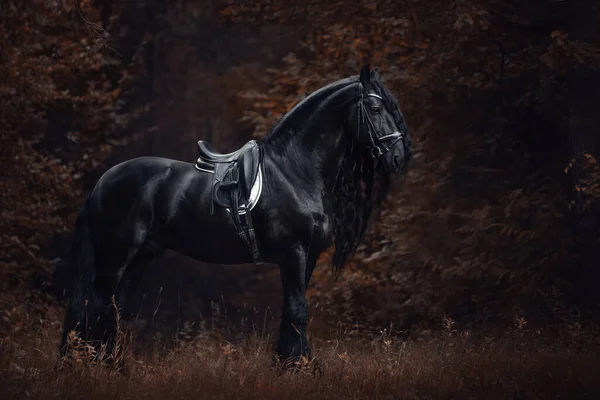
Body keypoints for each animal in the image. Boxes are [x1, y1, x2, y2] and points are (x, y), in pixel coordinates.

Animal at [61, 65, 412, 362]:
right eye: (376, 109)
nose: (399, 156)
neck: (295, 170)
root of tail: (102, 182)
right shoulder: (294, 252)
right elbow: (298, 310)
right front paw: (300, 366)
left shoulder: (307, 256)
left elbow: (291, 310)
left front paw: (288, 362)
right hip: (115, 258)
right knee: (97, 307)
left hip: (139, 258)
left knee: (114, 309)